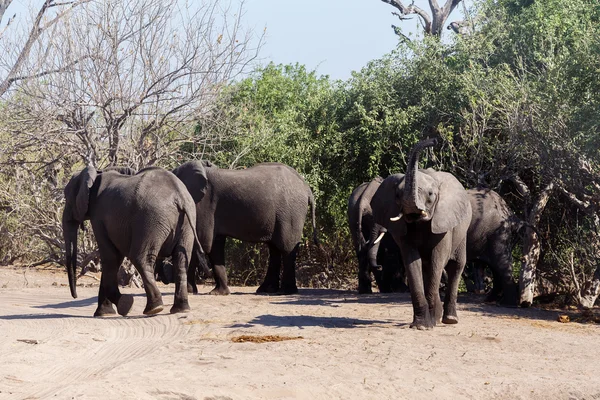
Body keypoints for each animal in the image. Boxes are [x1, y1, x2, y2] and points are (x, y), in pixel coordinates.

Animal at [62, 164, 205, 318]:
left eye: (66, 198)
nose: (75, 296)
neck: (96, 175)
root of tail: (180, 196)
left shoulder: (98, 217)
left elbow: (111, 257)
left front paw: (124, 305)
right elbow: (114, 259)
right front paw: (104, 313)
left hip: (150, 219)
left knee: (140, 258)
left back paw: (154, 309)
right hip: (186, 222)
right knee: (181, 260)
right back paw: (181, 309)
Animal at [171, 161, 318, 296]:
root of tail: (307, 188)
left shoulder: (204, 204)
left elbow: (202, 243)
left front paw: (191, 292)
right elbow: (215, 246)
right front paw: (219, 293)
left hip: (291, 212)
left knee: (287, 248)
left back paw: (286, 292)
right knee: (274, 248)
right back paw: (266, 290)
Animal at [370, 139, 474, 330]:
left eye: (431, 195)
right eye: (397, 195)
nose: (433, 141)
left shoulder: (443, 223)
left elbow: (437, 260)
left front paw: (428, 325)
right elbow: (412, 263)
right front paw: (421, 325)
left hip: (463, 228)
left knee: (455, 265)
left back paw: (449, 319)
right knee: (427, 268)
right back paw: (437, 317)